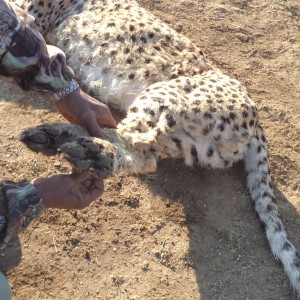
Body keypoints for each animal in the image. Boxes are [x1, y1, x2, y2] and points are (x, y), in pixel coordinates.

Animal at [14, 0, 300, 296]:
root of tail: (256, 117)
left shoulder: (30, 22)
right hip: (186, 141)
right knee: (141, 154)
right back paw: (62, 140)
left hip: (163, 95)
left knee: (132, 143)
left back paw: (84, 148)